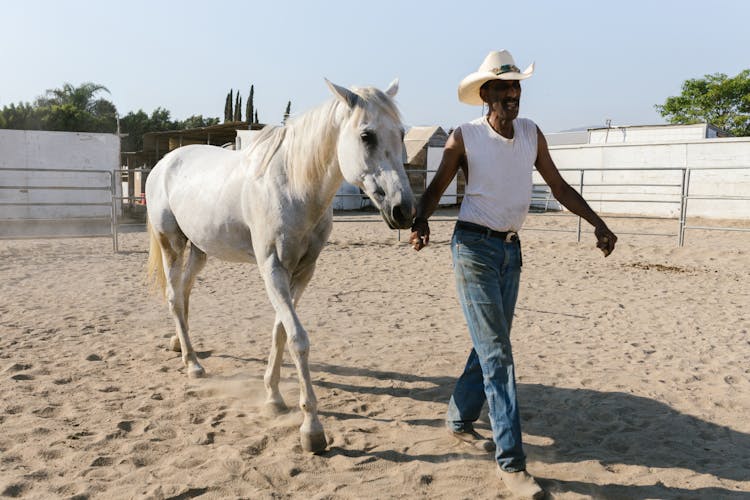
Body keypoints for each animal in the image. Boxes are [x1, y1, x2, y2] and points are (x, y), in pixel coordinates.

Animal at [145, 79, 418, 454]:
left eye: (401, 133)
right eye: (367, 135)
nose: (404, 210)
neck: (293, 186)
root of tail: (165, 161)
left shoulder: (302, 272)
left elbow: (280, 332)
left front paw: (273, 397)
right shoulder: (272, 269)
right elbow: (298, 339)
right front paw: (312, 428)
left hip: (199, 250)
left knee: (183, 294)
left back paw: (180, 345)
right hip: (171, 243)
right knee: (174, 297)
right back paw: (193, 364)